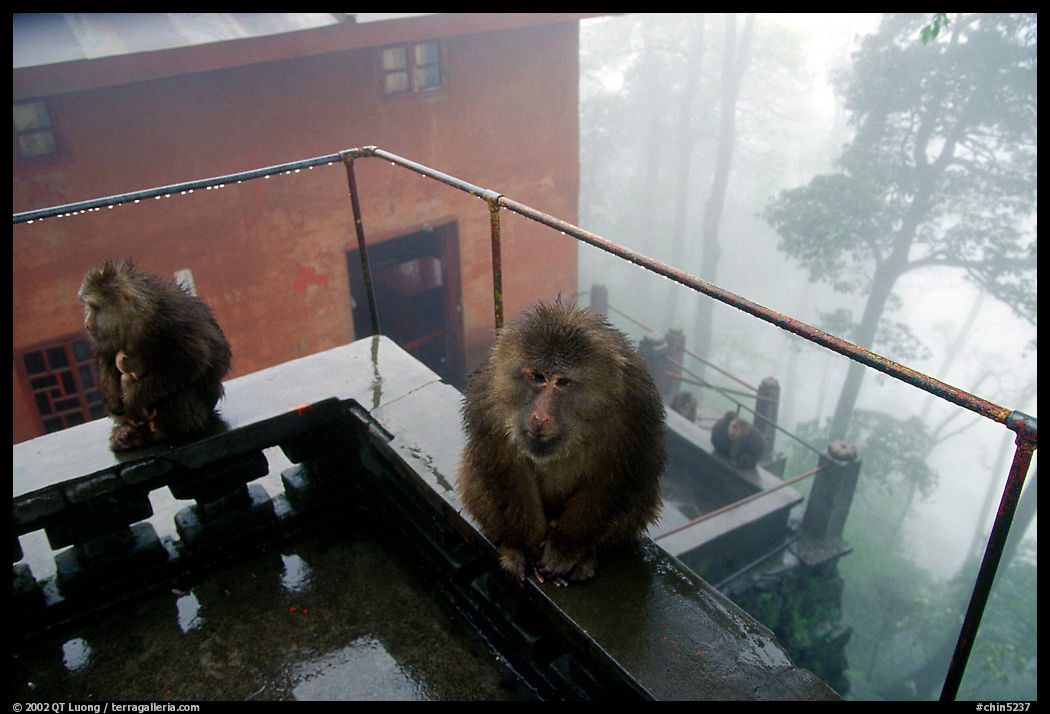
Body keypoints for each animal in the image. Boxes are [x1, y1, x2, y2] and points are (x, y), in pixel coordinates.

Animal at [78, 260, 231, 452]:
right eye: (89, 307)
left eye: (95, 307)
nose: (87, 324)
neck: (133, 317)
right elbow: (108, 360)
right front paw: (114, 402)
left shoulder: (165, 323)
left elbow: (190, 362)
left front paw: (134, 400)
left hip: (196, 413)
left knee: (181, 393)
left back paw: (161, 433)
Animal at [457, 300, 665, 587]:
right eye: (538, 377)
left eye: (562, 382)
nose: (539, 417)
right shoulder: (487, 401)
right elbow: (507, 472)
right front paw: (526, 545)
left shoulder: (637, 410)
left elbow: (615, 481)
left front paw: (566, 548)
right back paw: (512, 546)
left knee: (642, 493)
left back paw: (587, 556)